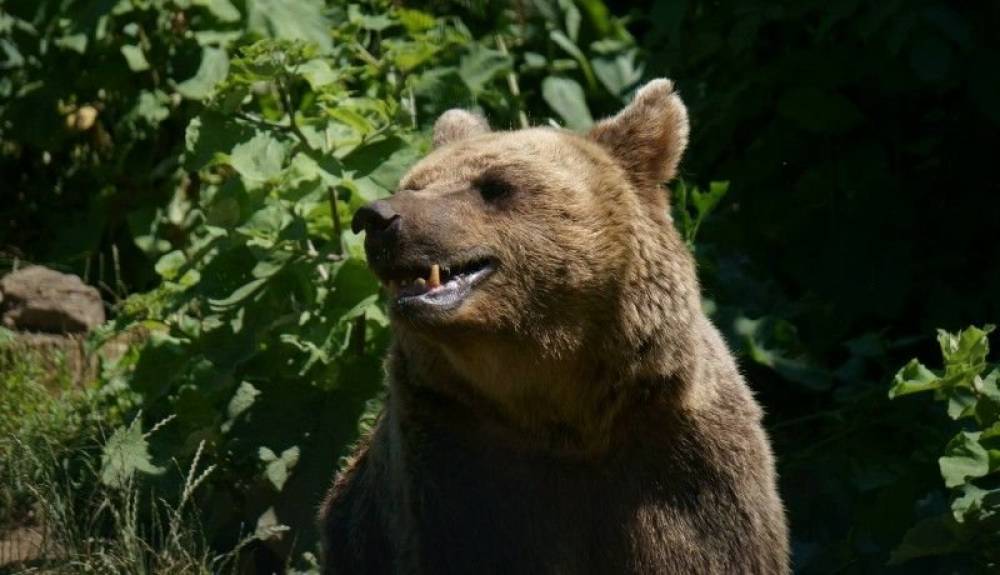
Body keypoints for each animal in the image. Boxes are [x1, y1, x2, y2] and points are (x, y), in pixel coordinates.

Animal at [320, 77, 788, 575]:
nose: (376, 218)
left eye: (493, 185)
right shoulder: (449, 468)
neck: (562, 412)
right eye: (412, 184)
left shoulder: (683, 468)